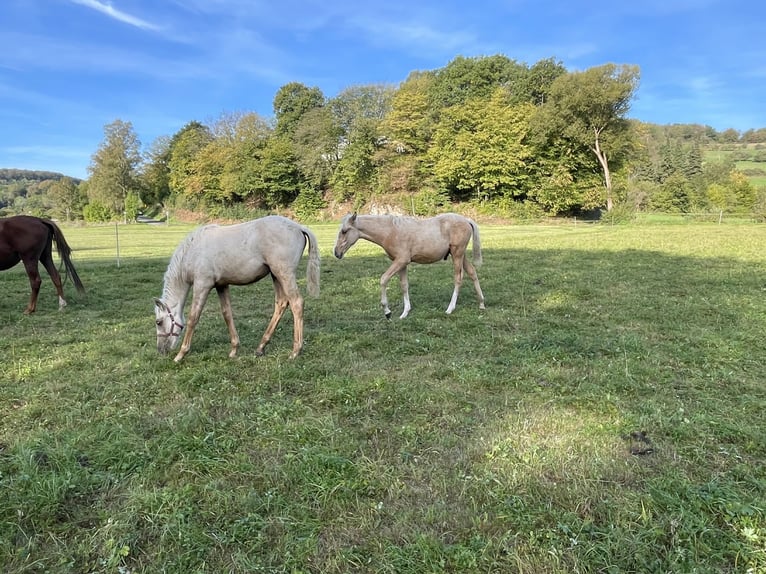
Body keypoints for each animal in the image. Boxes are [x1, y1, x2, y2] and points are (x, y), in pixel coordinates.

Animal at [153, 215, 320, 363]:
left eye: (159, 322)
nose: (161, 350)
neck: (193, 251)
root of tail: (299, 227)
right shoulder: (221, 285)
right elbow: (227, 314)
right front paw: (234, 349)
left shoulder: (202, 284)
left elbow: (193, 317)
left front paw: (180, 354)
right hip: (276, 275)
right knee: (281, 303)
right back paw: (261, 347)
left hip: (284, 273)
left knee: (296, 303)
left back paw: (295, 351)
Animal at [333, 213, 485, 319]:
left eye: (345, 231)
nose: (336, 253)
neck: (391, 231)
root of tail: (466, 220)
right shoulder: (401, 264)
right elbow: (404, 285)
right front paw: (405, 313)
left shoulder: (401, 260)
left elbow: (383, 279)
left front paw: (387, 312)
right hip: (460, 255)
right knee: (472, 272)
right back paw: (482, 304)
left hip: (457, 254)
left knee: (458, 278)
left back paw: (450, 308)